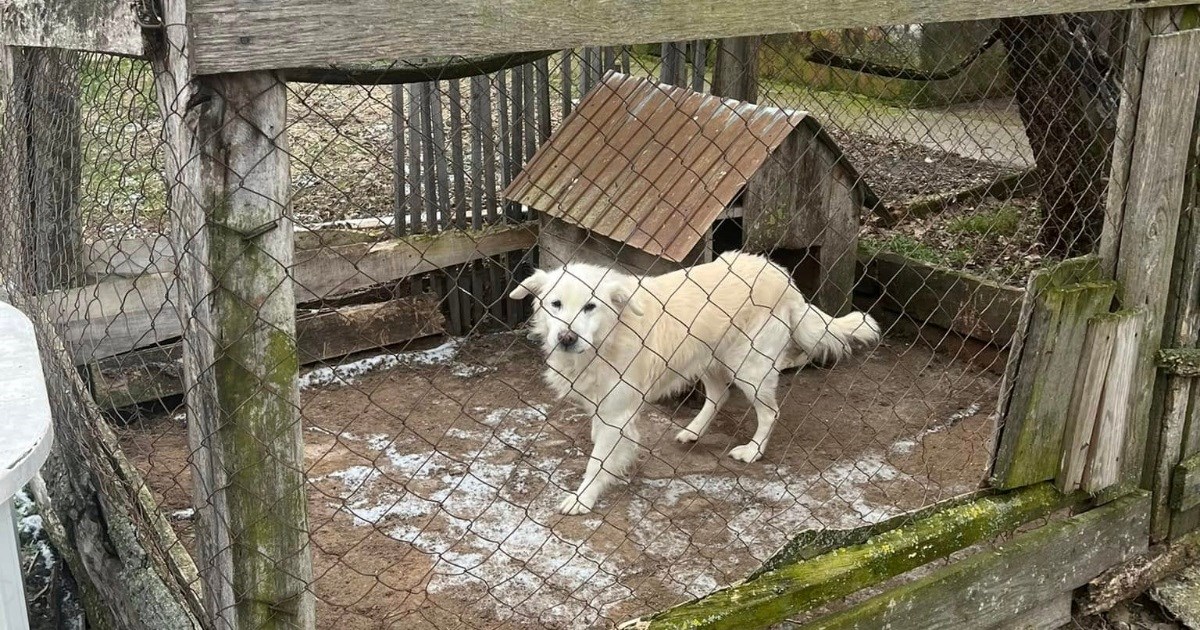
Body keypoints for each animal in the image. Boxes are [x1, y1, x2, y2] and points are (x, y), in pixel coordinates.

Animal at [508, 248, 883, 513]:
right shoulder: (603, 407)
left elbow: (598, 460)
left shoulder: (616, 413)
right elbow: (602, 444)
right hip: (709, 361)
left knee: (769, 412)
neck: (607, 338)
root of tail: (780, 275)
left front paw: (583, 498)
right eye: (555, 304)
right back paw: (692, 432)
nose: (566, 338)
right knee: (718, 397)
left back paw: (753, 451)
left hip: (749, 367)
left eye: (590, 307)